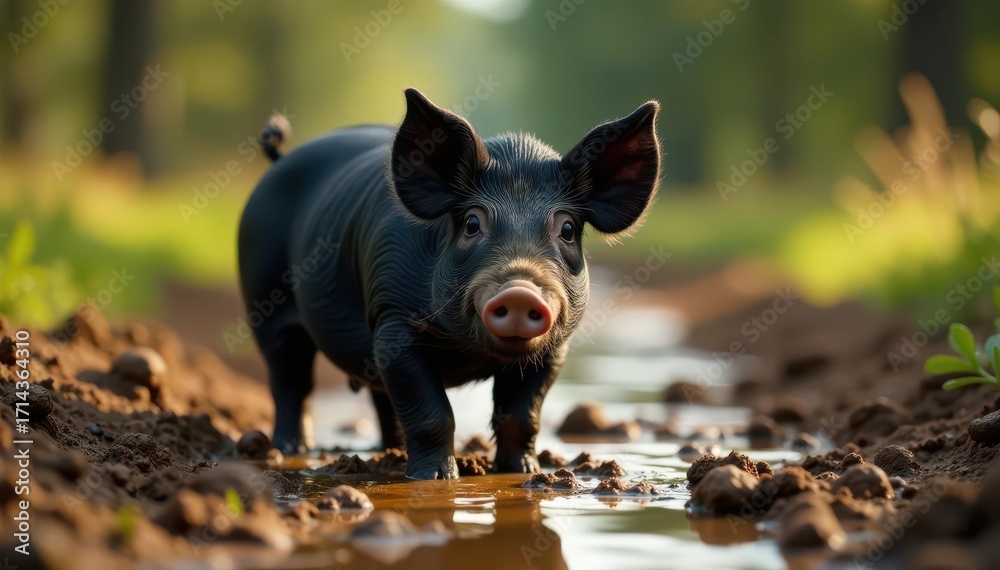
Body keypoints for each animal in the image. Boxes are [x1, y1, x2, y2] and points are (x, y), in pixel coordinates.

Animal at [238, 88, 661, 479]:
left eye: (568, 229)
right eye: (472, 223)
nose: (520, 291)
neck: (466, 352)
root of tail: (280, 159)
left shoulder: (555, 348)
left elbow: (522, 416)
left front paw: (522, 473)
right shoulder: (393, 322)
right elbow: (432, 412)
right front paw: (437, 479)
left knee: (378, 396)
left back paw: (387, 452)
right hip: (266, 307)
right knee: (291, 382)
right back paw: (294, 449)